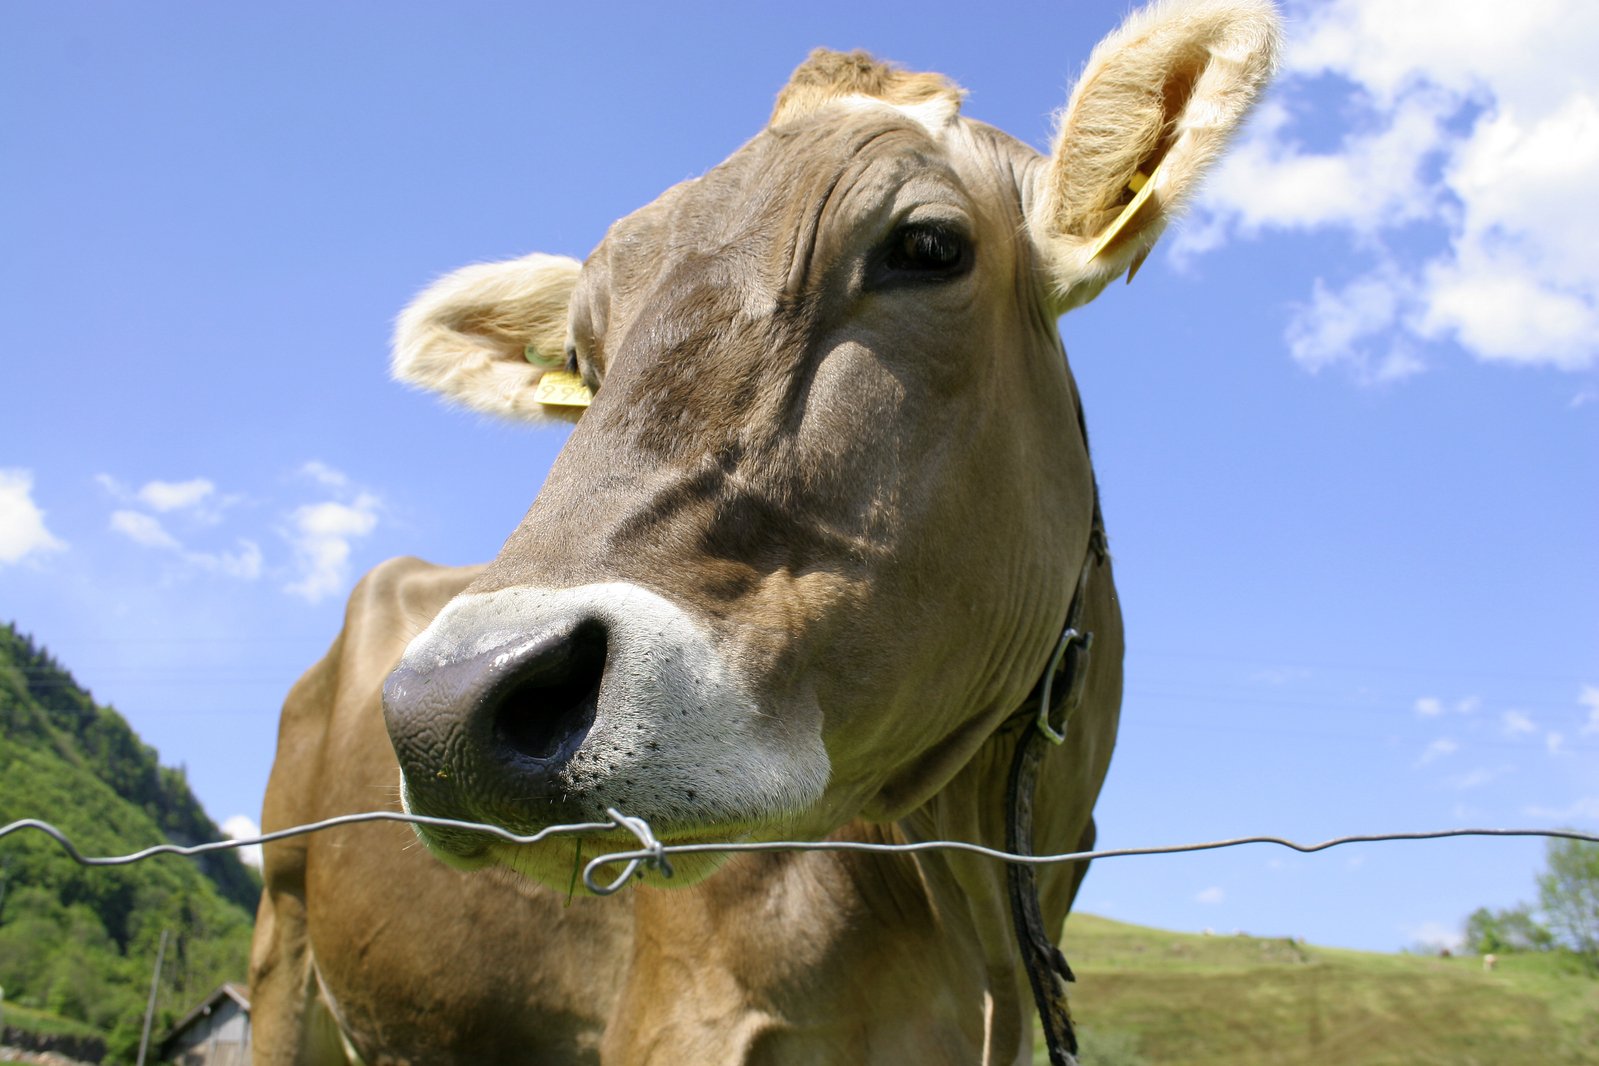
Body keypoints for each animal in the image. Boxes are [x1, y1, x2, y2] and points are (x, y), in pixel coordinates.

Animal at [246, 4, 1272, 1061]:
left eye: (929, 246)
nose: (448, 704)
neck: (976, 924)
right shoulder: (684, 1015)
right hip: (283, 939)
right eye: (580, 354)